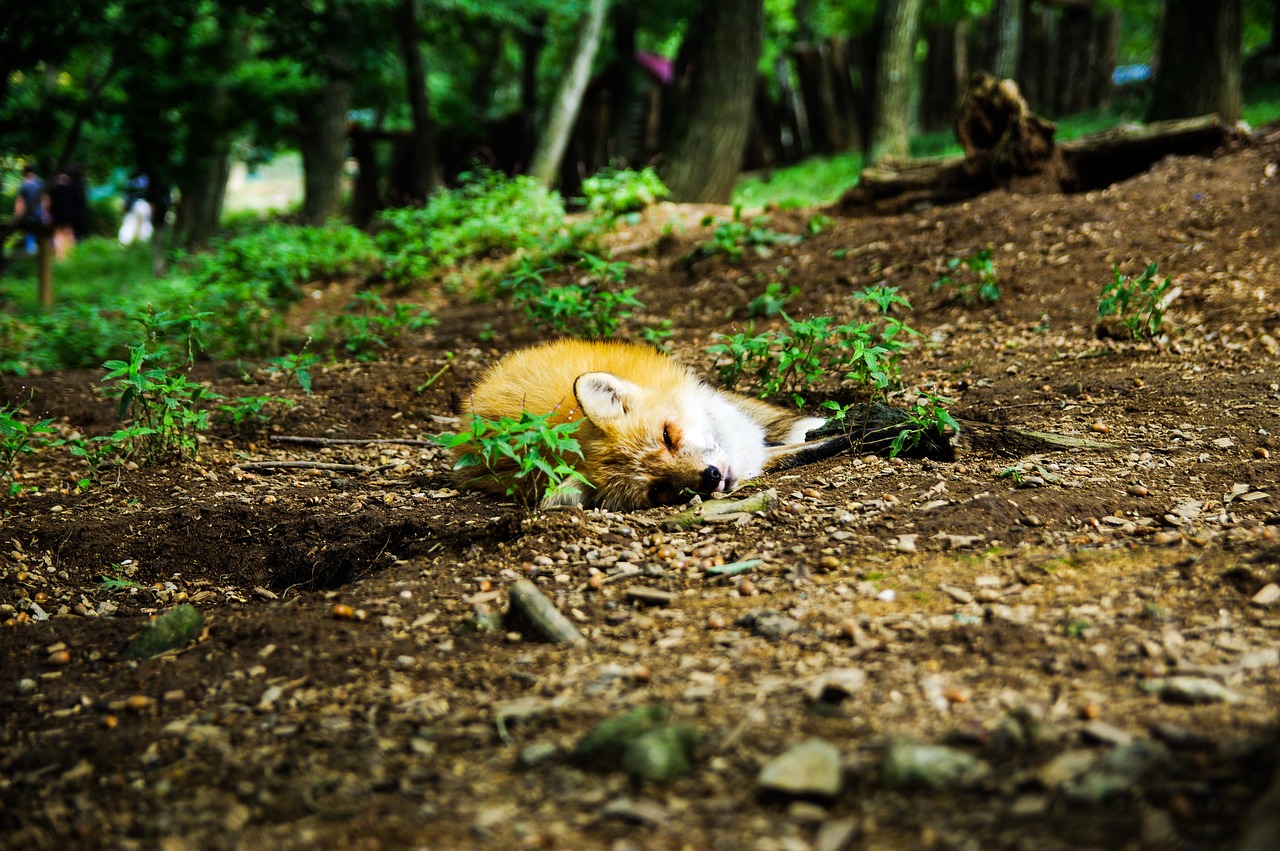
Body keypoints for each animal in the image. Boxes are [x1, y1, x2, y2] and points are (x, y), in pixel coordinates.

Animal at [453, 337, 952, 511]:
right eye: (658, 491)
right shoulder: (752, 460)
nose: (711, 478)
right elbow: (829, 442)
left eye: (667, 435)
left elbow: (822, 428)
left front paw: (903, 423)